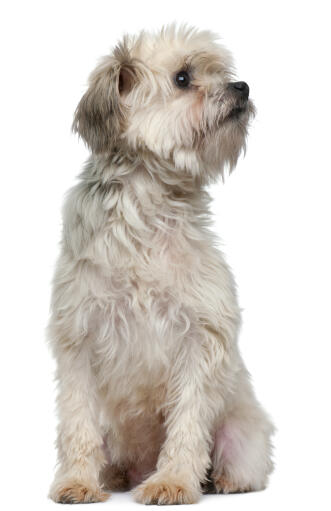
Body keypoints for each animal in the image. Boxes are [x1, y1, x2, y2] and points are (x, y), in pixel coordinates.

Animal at [48, 25, 274, 508]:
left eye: (221, 72)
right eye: (183, 78)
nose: (242, 87)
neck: (149, 207)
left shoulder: (200, 338)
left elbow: (187, 421)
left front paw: (172, 481)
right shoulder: (78, 338)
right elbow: (77, 421)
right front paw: (77, 481)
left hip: (240, 434)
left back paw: (221, 480)